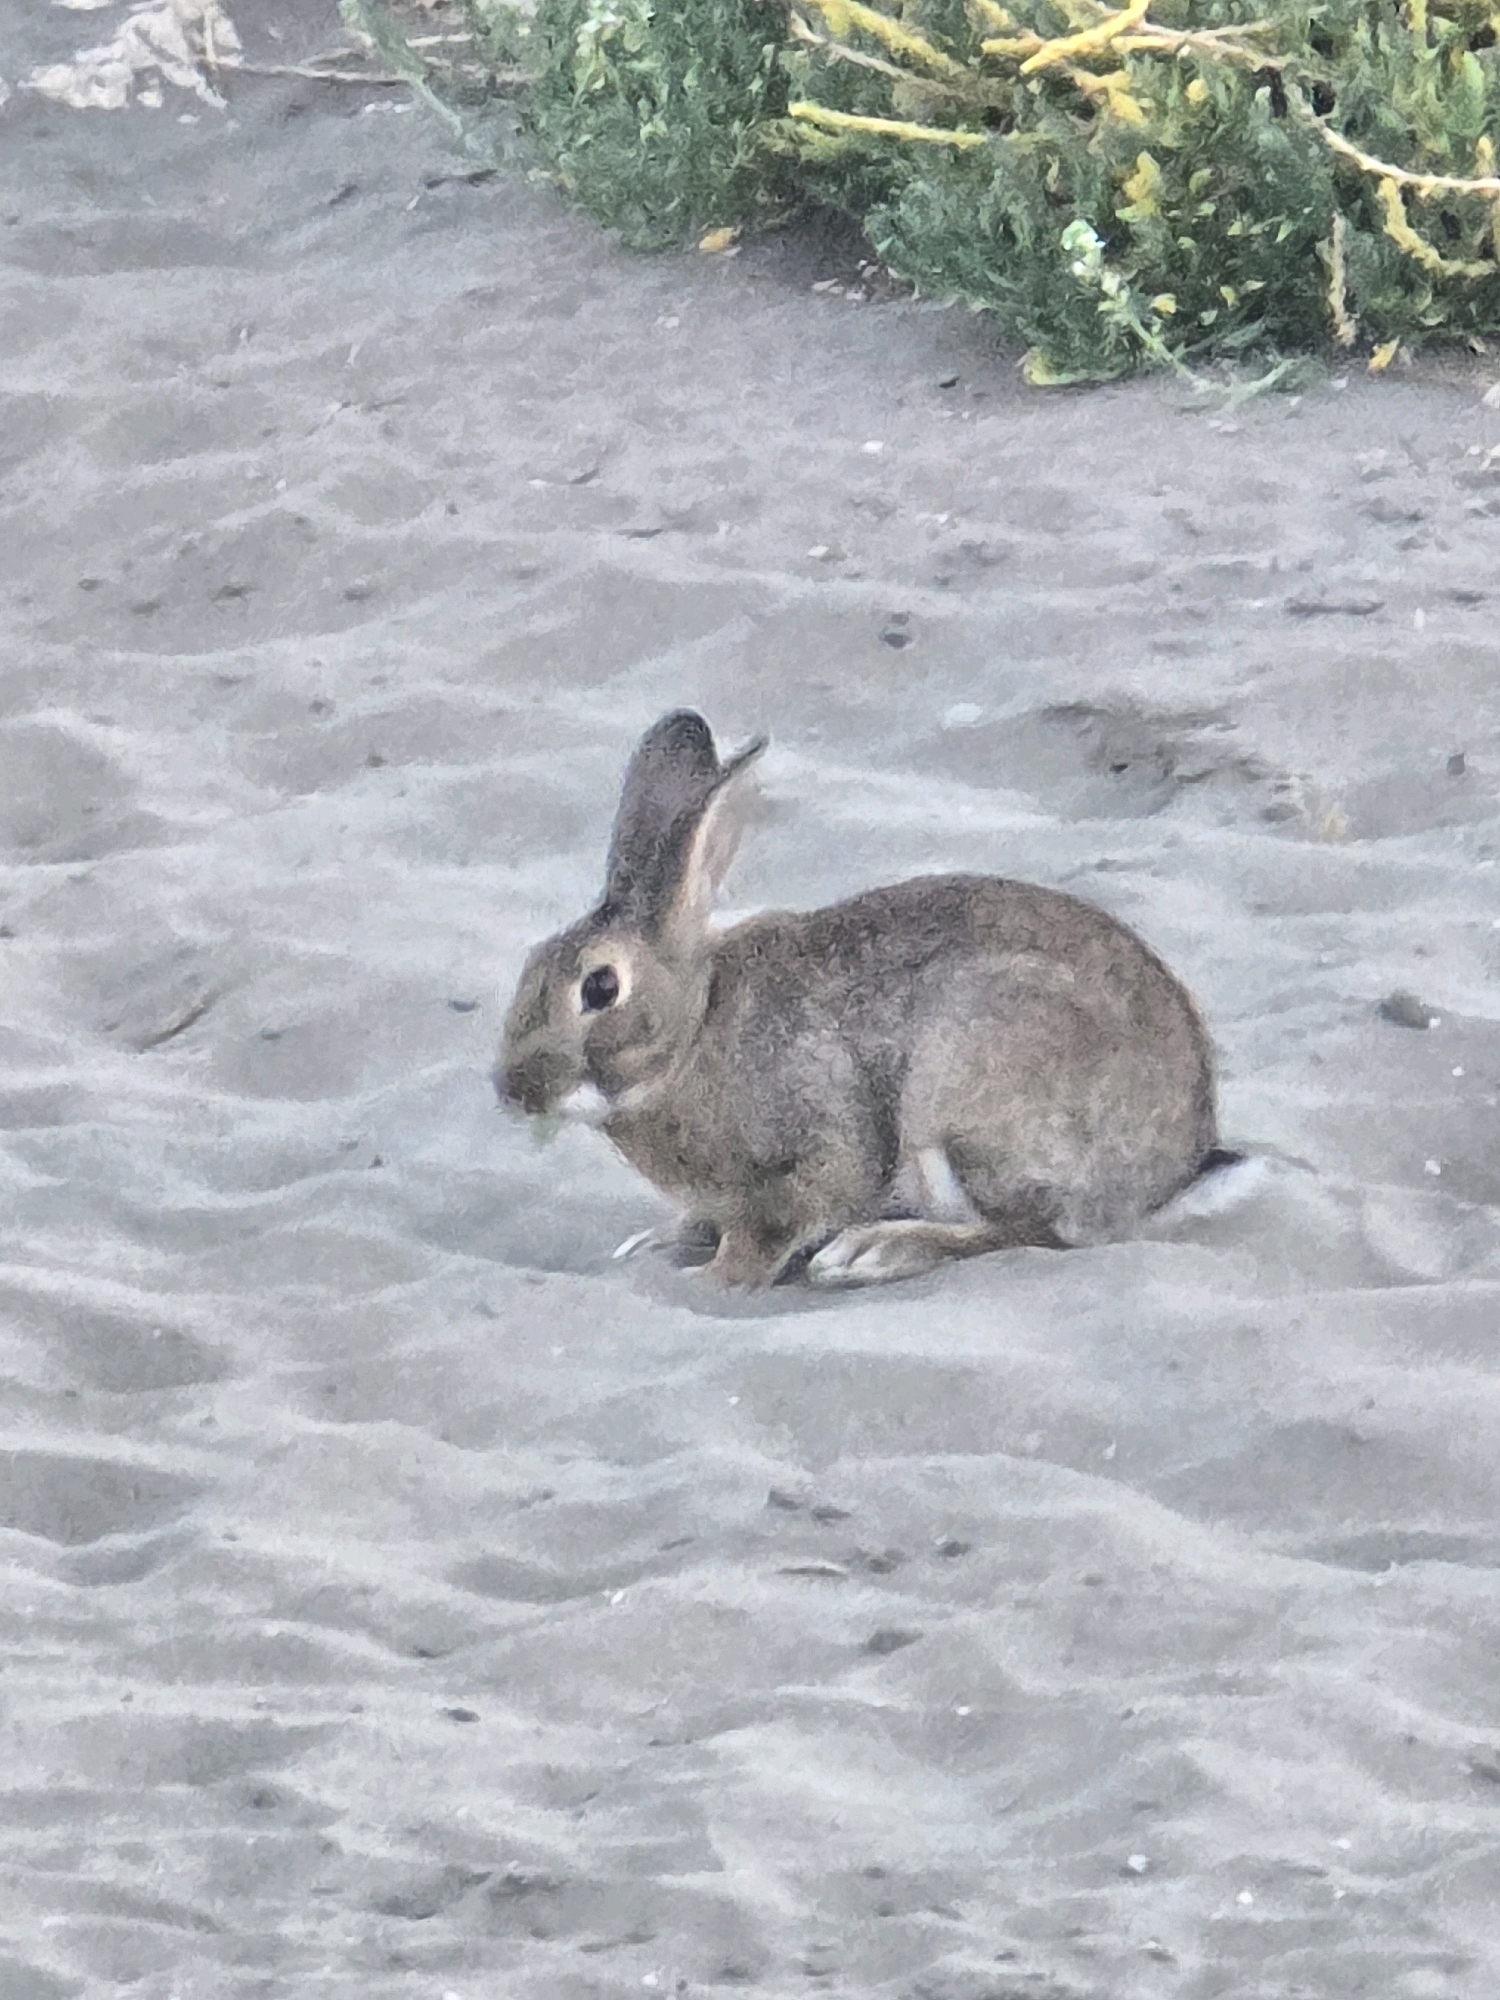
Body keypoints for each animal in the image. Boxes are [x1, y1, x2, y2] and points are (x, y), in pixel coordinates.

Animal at [497, 710, 1230, 1288]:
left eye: (601, 987)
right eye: (530, 963)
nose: (513, 1091)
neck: (694, 1033)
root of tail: (1175, 1169)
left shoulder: (819, 1141)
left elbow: (778, 1222)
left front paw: (714, 1277)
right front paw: (657, 1246)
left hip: (963, 1097)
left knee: (1031, 1231)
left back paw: (877, 1251)